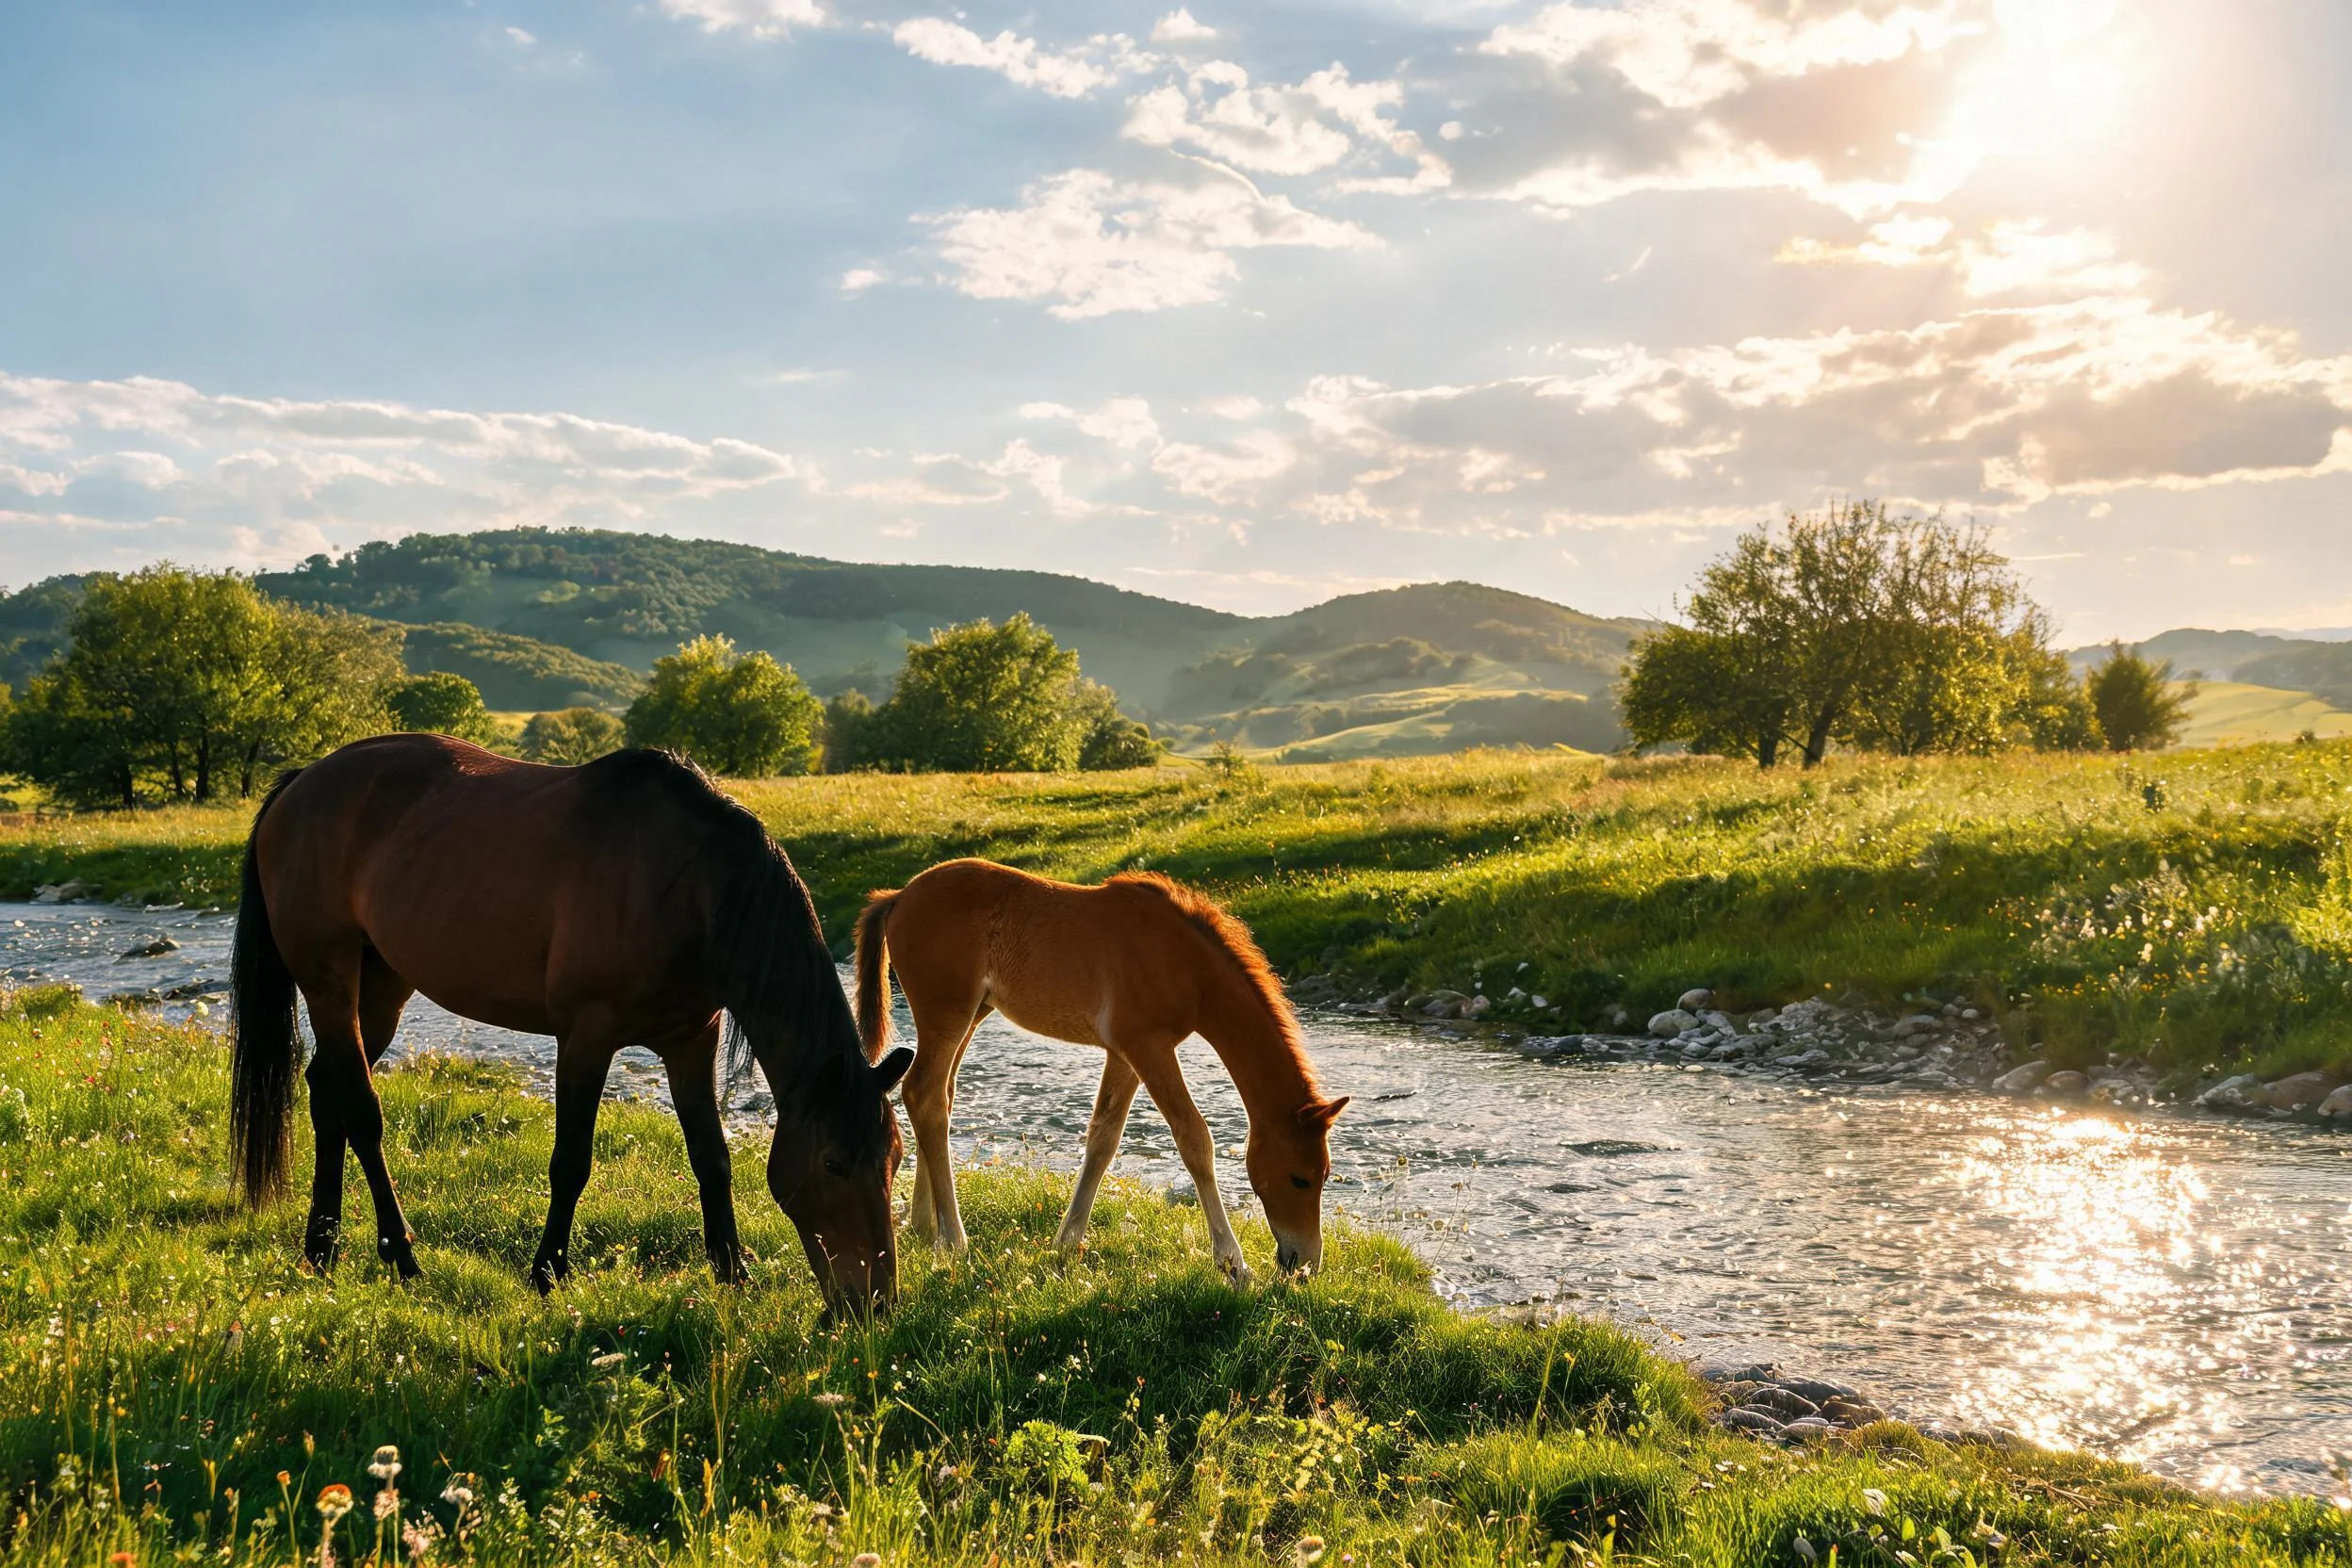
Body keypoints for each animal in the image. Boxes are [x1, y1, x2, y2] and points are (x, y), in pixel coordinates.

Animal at [228, 733, 913, 1311]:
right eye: (834, 1163)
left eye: (896, 1158)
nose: (874, 1301)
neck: (686, 888)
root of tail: (301, 783)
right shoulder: (586, 1037)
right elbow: (572, 1160)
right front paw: (546, 1272)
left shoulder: (692, 1039)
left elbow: (711, 1157)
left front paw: (732, 1273)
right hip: (328, 980)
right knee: (361, 1110)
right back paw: (401, 1256)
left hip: (383, 986)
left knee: (327, 1090)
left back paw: (322, 1247)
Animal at [853, 858, 1347, 1284]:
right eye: (1299, 1178)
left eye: (1325, 1176)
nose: (1303, 1264)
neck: (1185, 964)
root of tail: (899, 896)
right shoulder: (1148, 1047)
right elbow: (1194, 1139)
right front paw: (1233, 1264)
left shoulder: (1125, 1054)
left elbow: (1103, 1139)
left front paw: (1066, 1243)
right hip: (949, 1014)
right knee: (925, 1094)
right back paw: (954, 1241)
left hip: (972, 1014)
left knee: (939, 1094)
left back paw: (924, 1226)